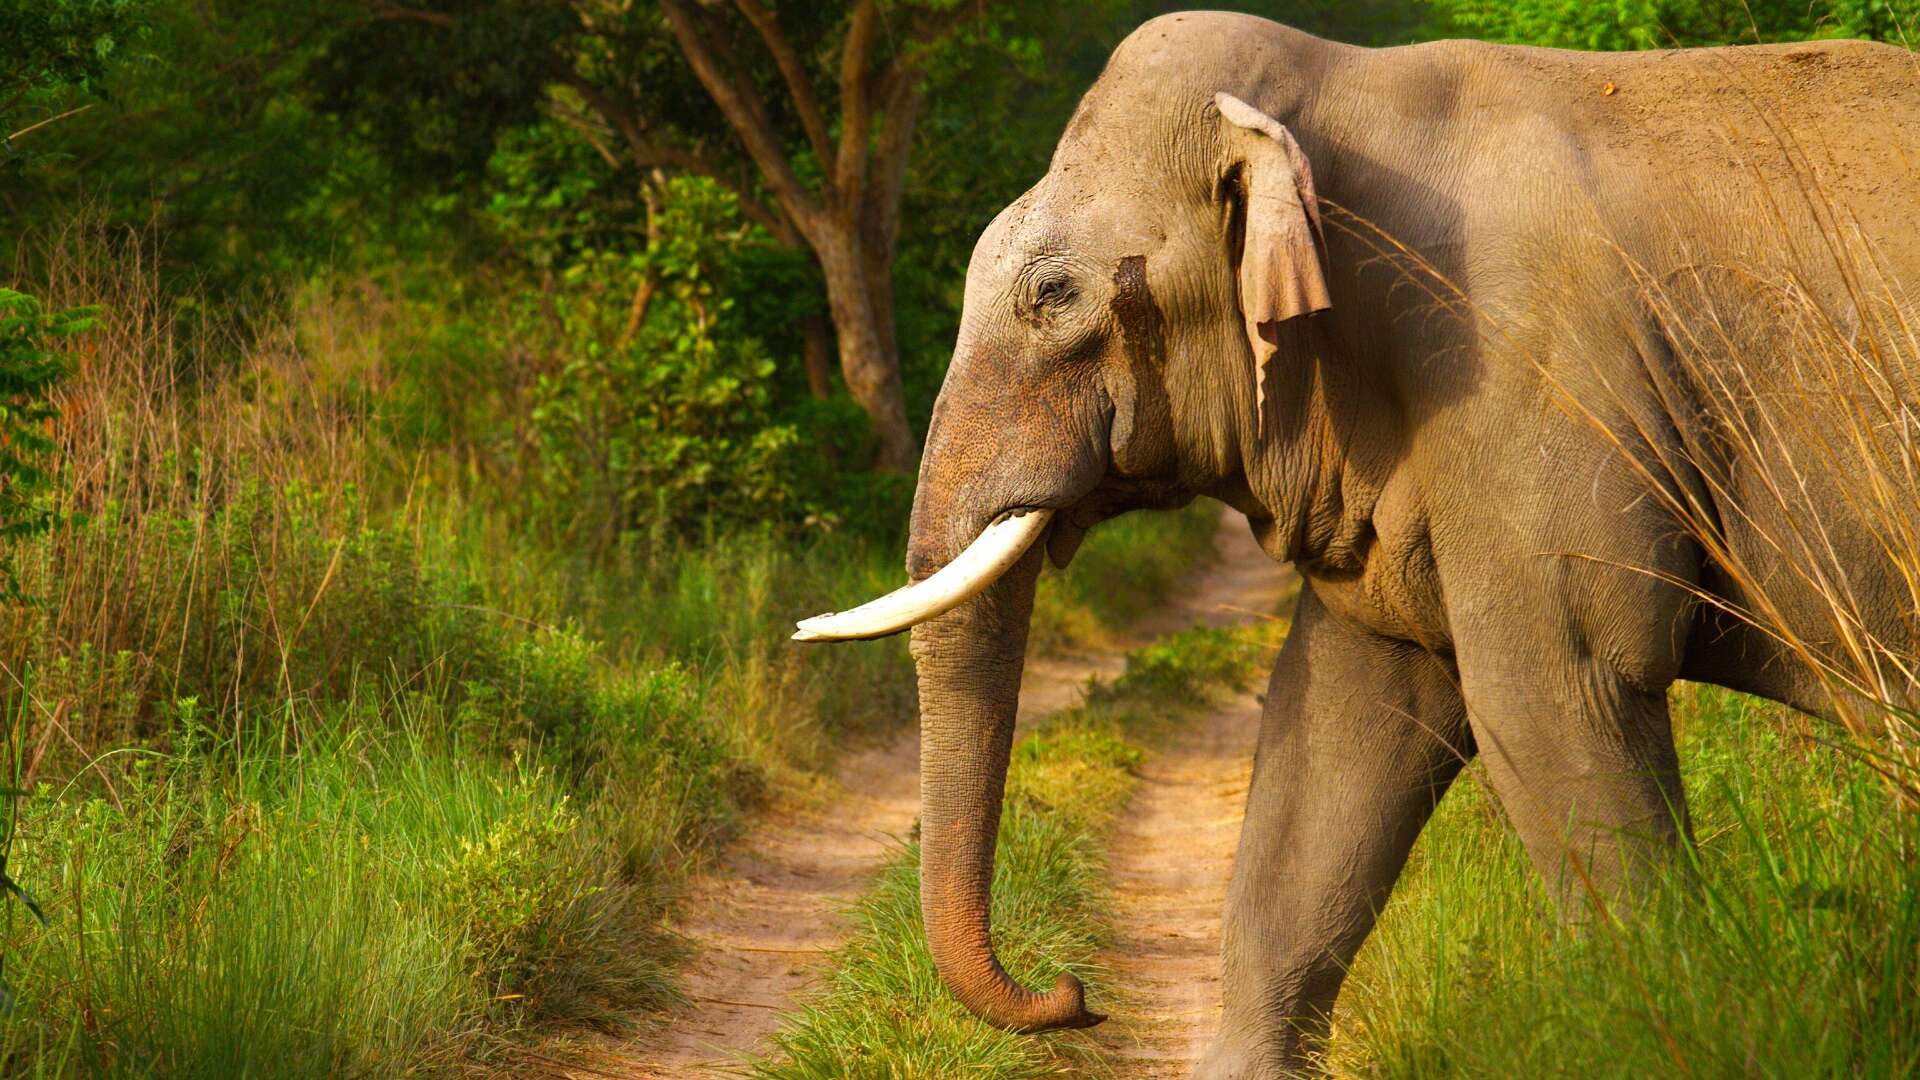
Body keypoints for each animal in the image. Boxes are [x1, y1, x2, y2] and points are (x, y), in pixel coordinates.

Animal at [796, 11, 1920, 1076]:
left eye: (1054, 295)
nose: (1074, 995)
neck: (1338, 89)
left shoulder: (1533, 380)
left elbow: (1561, 693)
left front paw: (1674, 1027)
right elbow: (1342, 723)